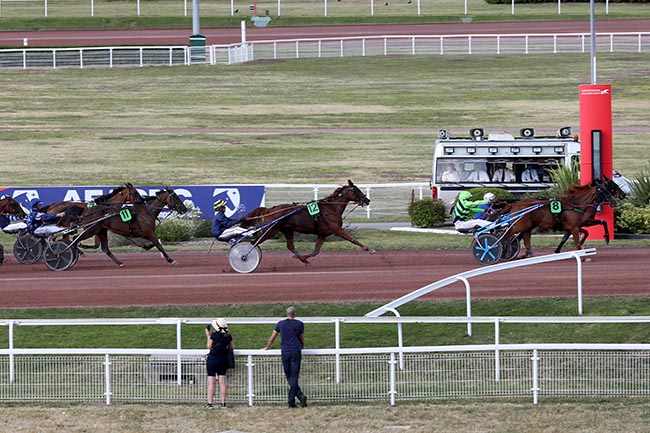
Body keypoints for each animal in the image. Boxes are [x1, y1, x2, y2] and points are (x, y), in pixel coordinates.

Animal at [239, 179, 372, 264]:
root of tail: (270, 210)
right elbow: (353, 239)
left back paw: (302, 258)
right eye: (357, 190)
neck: (332, 208)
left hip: (287, 230)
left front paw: (304, 258)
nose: (367, 200)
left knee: (290, 245)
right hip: (272, 230)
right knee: (254, 243)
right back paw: (244, 256)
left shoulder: (322, 234)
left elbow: (315, 251)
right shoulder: (337, 229)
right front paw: (370, 250)